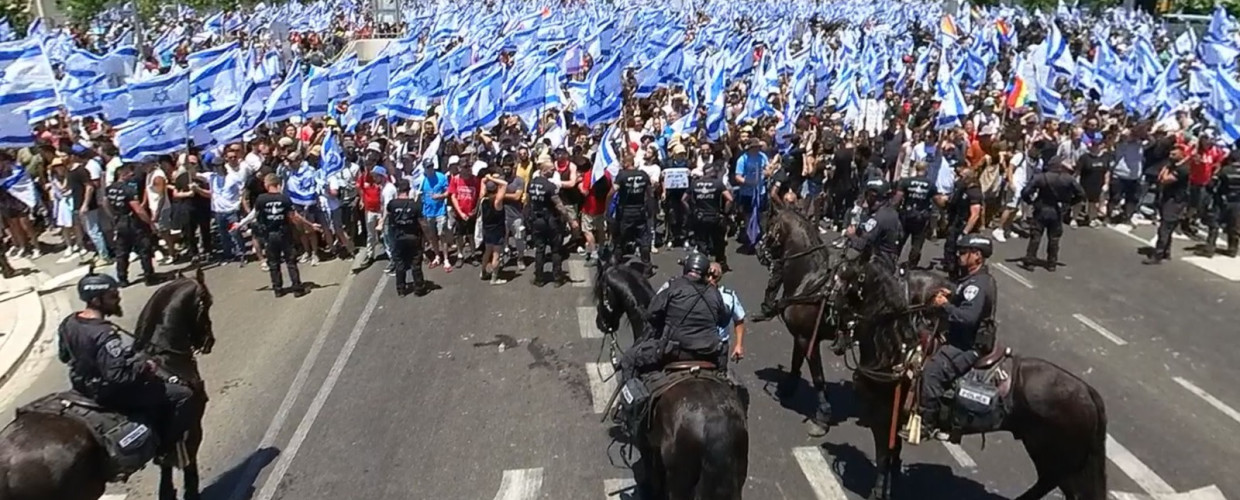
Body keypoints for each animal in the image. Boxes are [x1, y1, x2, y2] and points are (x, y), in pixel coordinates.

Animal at [0, 267, 215, 500]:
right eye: (208, 303)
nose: (209, 342)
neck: (165, 360)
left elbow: (165, 471)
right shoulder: (192, 427)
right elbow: (188, 465)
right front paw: (191, 492)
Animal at [590, 254, 744, 500]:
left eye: (600, 290)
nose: (600, 323)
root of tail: (716, 429)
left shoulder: (646, 444)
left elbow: (650, 473)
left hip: (680, 483)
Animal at [828, 260, 1111, 500]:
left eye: (844, 278)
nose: (829, 306)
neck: (897, 351)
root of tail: (1087, 391)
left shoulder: (883, 418)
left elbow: (884, 457)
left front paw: (878, 493)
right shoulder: (894, 420)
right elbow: (893, 456)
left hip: (1055, 456)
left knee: (1060, 486)